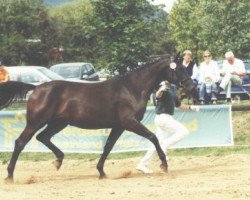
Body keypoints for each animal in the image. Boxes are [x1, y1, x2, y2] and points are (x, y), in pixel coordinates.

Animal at [0, 54, 195, 183]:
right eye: (179, 68)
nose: (191, 87)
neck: (130, 88)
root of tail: (35, 88)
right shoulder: (130, 122)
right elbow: (153, 137)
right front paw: (164, 165)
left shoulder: (119, 126)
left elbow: (108, 146)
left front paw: (101, 172)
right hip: (36, 122)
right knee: (20, 142)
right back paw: (9, 176)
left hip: (59, 123)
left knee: (43, 137)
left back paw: (58, 160)